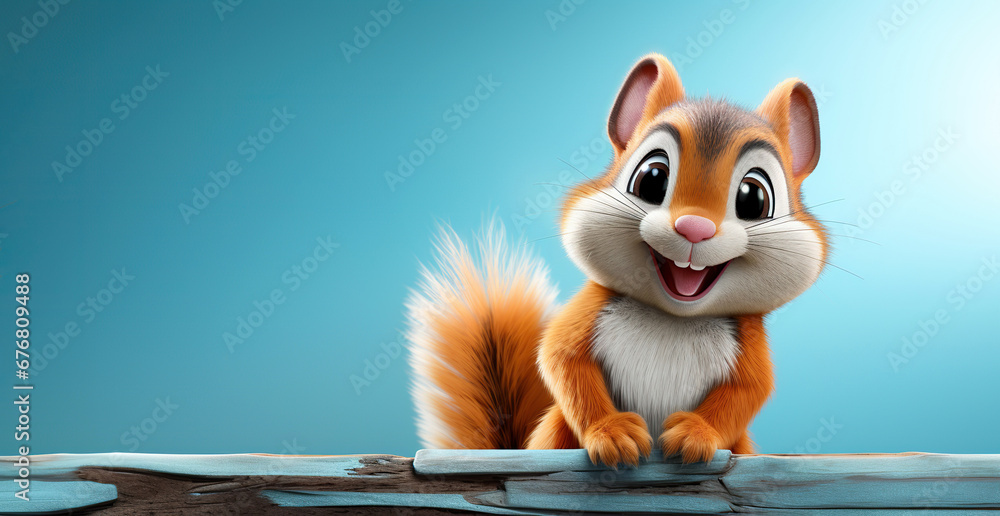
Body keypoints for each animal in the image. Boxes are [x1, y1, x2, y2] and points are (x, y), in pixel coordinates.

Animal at [406, 53, 826, 468]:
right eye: (652, 178)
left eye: (754, 199)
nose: (694, 228)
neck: (673, 318)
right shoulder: (589, 311)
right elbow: (563, 360)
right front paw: (612, 434)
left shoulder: (748, 342)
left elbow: (748, 391)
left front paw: (695, 434)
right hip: (556, 429)